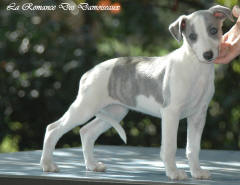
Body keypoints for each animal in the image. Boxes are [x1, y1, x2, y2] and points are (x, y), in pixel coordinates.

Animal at [40, 5, 233, 179]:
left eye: (213, 30)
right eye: (192, 36)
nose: (208, 55)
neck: (196, 68)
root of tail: (88, 73)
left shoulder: (198, 115)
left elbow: (193, 148)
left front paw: (197, 172)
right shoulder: (171, 113)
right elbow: (169, 147)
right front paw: (173, 173)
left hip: (115, 111)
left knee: (86, 132)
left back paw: (92, 165)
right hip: (84, 108)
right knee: (53, 128)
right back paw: (48, 164)